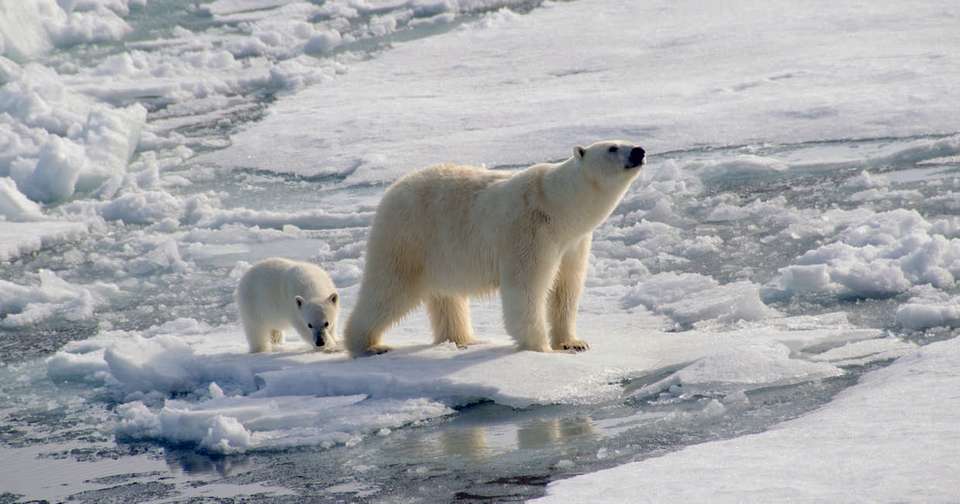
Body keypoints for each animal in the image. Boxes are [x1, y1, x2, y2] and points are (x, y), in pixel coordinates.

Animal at [344, 140, 645, 357]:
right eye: (613, 147)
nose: (639, 151)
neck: (558, 207)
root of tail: (390, 191)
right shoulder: (529, 232)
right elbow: (526, 288)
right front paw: (540, 348)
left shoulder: (573, 242)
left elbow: (566, 289)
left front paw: (574, 343)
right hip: (408, 237)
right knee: (389, 288)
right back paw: (369, 344)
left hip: (440, 252)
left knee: (446, 296)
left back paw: (462, 339)